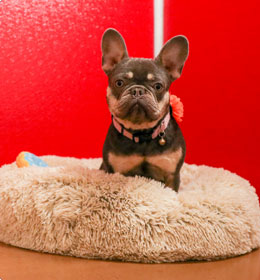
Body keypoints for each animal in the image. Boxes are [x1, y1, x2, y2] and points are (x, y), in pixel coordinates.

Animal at [100, 28, 189, 191]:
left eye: (158, 86)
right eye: (119, 83)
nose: (138, 90)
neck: (142, 134)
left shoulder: (171, 175)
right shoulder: (114, 172)